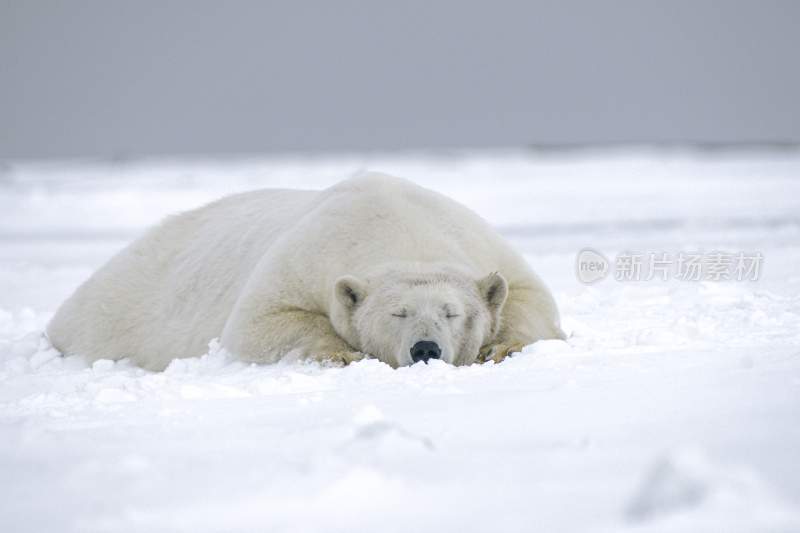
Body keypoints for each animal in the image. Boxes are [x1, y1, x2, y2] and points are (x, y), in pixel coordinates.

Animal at [47, 172, 564, 368]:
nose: (425, 349)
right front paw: (344, 354)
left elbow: (529, 298)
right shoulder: (306, 256)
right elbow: (259, 324)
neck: (395, 224)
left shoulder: (478, 242)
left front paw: (500, 347)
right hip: (115, 312)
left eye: (452, 312)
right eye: (396, 313)